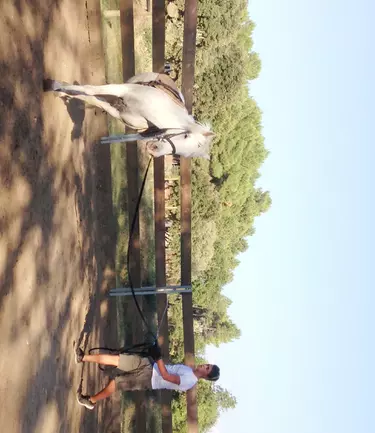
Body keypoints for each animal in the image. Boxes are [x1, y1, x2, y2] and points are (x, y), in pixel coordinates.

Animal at [44, 72, 214, 159]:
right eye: (186, 136)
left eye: (183, 154)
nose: (154, 150)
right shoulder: (122, 89)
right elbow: (89, 90)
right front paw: (54, 85)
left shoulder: (120, 113)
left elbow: (92, 98)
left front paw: (64, 92)